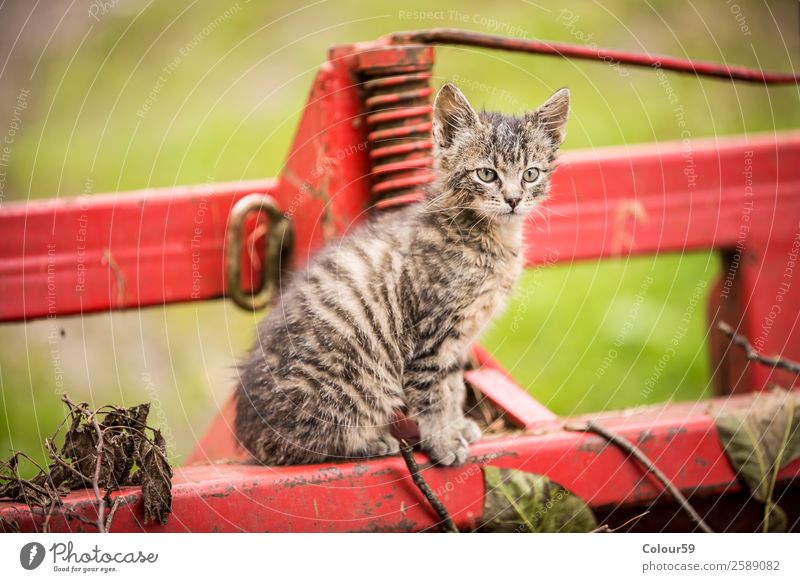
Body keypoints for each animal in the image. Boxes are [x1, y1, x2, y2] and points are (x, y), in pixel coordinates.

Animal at [234, 82, 572, 468]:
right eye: (486, 174)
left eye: (531, 173)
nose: (514, 199)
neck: (490, 236)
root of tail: (249, 434)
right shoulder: (430, 336)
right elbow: (434, 393)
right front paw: (443, 442)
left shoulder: (460, 340)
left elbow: (454, 387)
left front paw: (456, 427)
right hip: (357, 384)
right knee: (297, 446)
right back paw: (372, 442)